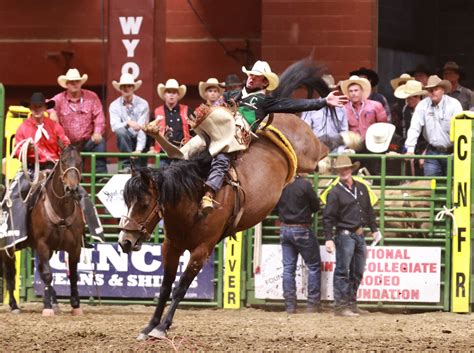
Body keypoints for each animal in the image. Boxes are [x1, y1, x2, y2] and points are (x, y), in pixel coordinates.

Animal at [117, 113, 326, 338]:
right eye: (127, 201)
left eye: (144, 204)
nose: (125, 241)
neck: (193, 200)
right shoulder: (170, 246)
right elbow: (165, 287)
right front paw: (150, 326)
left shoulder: (202, 251)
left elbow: (181, 287)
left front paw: (162, 327)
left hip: (309, 156)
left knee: (322, 152)